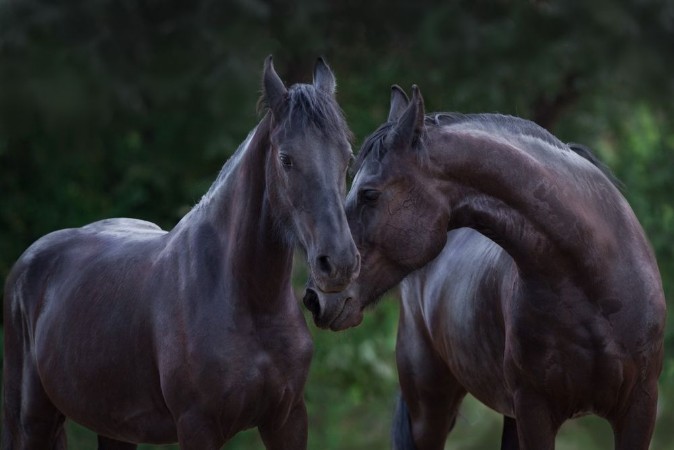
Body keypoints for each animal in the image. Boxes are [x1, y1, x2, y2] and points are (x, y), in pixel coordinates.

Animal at [3, 56, 360, 450]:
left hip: (114, 427)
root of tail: (33, 256)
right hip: (33, 421)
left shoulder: (287, 420)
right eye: (286, 159)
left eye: (348, 156)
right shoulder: (197, 426)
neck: (249, 300)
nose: (338, 264)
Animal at [303, 85, 666, 449]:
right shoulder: (534, 410)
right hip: (430, 410)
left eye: (370, 194)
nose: (314, 297)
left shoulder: (639, 408)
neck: (592, 283)